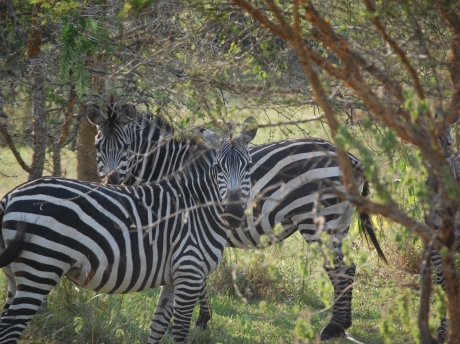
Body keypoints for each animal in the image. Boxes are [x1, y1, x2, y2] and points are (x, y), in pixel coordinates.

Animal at [0, 116, 256, 344]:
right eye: (218, 167)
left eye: (248, 166)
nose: (234, 213)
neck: (198, 206)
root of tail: (11, 196)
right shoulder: (189, 270)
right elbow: (180, 331)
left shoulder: (173, 278)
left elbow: (158, 326)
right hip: (41, 267)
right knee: (12, 326)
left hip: (16, 274)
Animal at [87, 101, 388, 340]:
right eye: (98, 146)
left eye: (126, 147)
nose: (111, 181)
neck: (171, 166)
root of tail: (351, 157)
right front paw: (203, 318)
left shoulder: (185, 224)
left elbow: (195, 277)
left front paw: (199, 319)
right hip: (340, 220)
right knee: (348, 268)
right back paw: (342, 325)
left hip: (318, 220)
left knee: (338, 269)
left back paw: (332, 328)